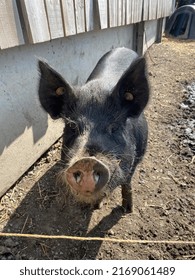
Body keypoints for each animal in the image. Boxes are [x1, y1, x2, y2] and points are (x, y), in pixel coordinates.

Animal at [37, 47, 149, 212]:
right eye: (72, 125)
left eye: (114, 126)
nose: (86, 161)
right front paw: (96, 206)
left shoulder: (136, 160)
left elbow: (127, 183)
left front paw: (128, 210)